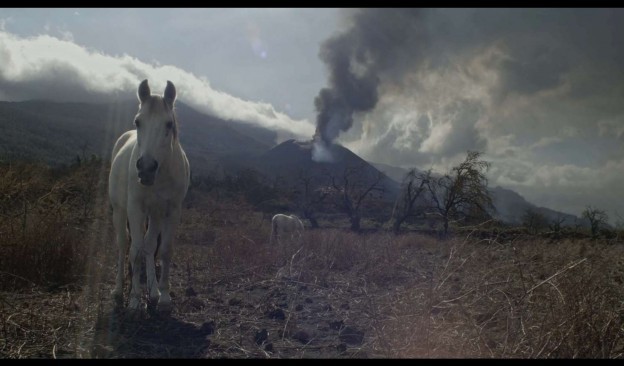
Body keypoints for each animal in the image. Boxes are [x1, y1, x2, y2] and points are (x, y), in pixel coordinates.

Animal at [108, 79, 190, 312]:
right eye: (138, 121)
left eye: (169, 124)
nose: (146, 168)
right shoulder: (135, 208)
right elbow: (135, 250)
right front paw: (135, 299)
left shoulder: (171, 210)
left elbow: (163, 250)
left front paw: (163, 295)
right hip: (119, 211)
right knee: (123, 245)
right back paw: (119, 290)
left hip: (155, 214)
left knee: (149, 244)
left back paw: (152, 292)